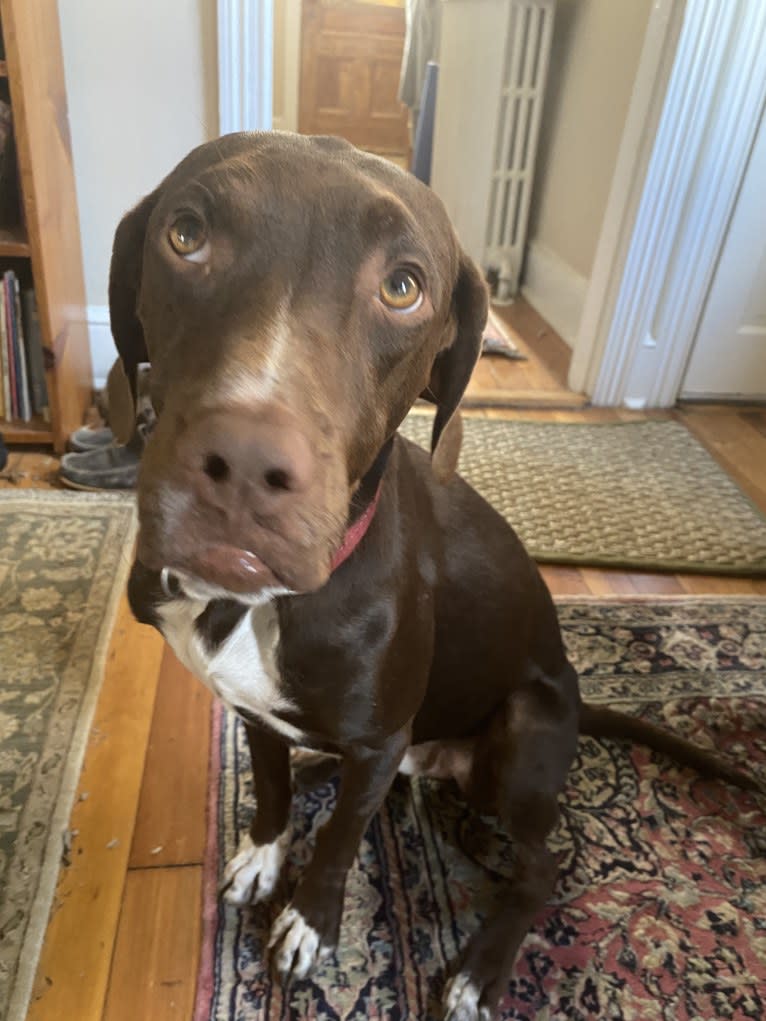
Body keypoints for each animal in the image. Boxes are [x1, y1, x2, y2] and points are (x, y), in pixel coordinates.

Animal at [118, 131, 755, 1016]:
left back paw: (479, 971)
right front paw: (266, 849)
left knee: (542, 866)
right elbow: (273, 784)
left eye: (402, 286)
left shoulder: (380, 733)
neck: (261, 607)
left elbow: (341, 840)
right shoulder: (253, 708)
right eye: (185, 235)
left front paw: (310, 921)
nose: (243, 464)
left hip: (517, 741)